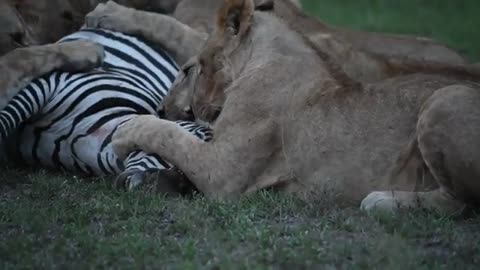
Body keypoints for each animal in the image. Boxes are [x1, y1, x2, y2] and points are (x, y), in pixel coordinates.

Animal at [86, 0, 480, 215]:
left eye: (189, 69)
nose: (166, 107)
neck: (260, 62)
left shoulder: (223, 172)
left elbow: (168, 136)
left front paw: (128, 132)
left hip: (445, 100)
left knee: (462, 202)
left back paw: (383, 202)